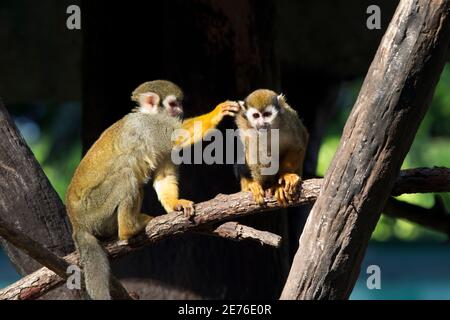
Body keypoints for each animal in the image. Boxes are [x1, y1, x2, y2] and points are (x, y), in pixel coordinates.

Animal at [66, 80, 239, 300]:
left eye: (179, 104)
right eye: (173, 104)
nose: (180, 111)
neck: (150, 114)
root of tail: (76, 223)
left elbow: (164, 177)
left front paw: (176, 205)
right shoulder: (150, 128)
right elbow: (178, 136)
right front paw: (217, 111)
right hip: (93, 208)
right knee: (126, 174)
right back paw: (128, 229)